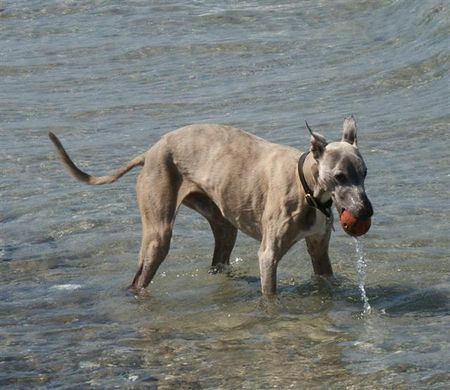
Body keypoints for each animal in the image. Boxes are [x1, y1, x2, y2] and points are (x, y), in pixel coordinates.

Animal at [48, 116, 372, 296]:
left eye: (365, 173)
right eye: (339, 176)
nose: (365, 211)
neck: (306, 184)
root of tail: (150, 152)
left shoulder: (319, 249)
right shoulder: (268, 255)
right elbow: (269, 294)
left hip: (223, 225)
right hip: (158, 233)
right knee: (139, 277)